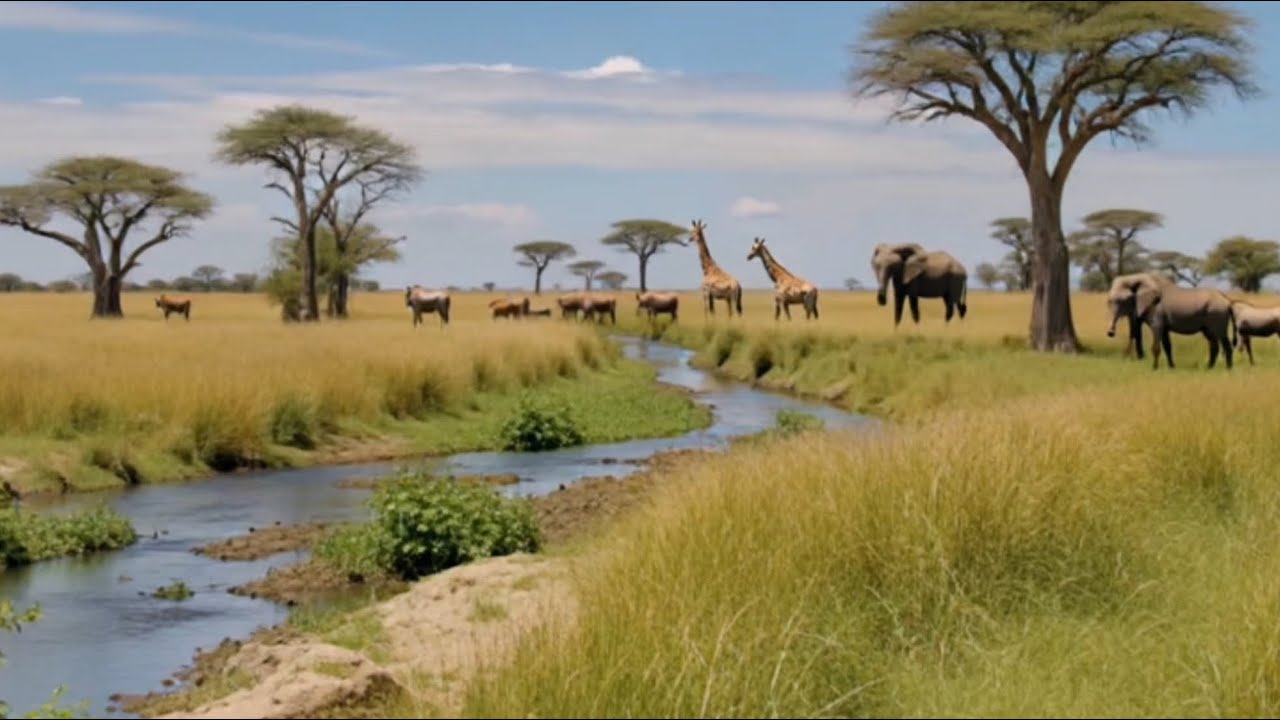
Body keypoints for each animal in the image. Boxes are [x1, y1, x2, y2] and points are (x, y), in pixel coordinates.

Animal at [1105, 272, 1236, 370]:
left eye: (1122, 300)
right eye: (1109, 301)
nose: (1110, 333)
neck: (1137, 277)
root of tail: (1227, 300)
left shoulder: (1157, 312)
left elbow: (1157, 336)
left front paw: (1154, 369)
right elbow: (1167, 345)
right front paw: (1171, 368)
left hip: (1216, 315)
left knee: (1223, 339)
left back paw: (1228, 369)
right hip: (1210, 320)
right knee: (1213, 342)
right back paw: (1209, 368)